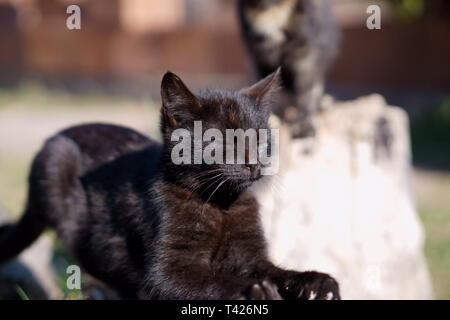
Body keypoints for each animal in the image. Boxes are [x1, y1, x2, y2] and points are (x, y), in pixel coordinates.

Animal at [0, 70, 340, 300]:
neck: (220, 205)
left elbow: (279, 272)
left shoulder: (251, 257)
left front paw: (316, 283)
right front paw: (254, 290)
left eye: (259, 138)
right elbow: (212, 282)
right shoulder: (166, 273)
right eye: (220, 140)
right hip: (58, 168)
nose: (253, 162)